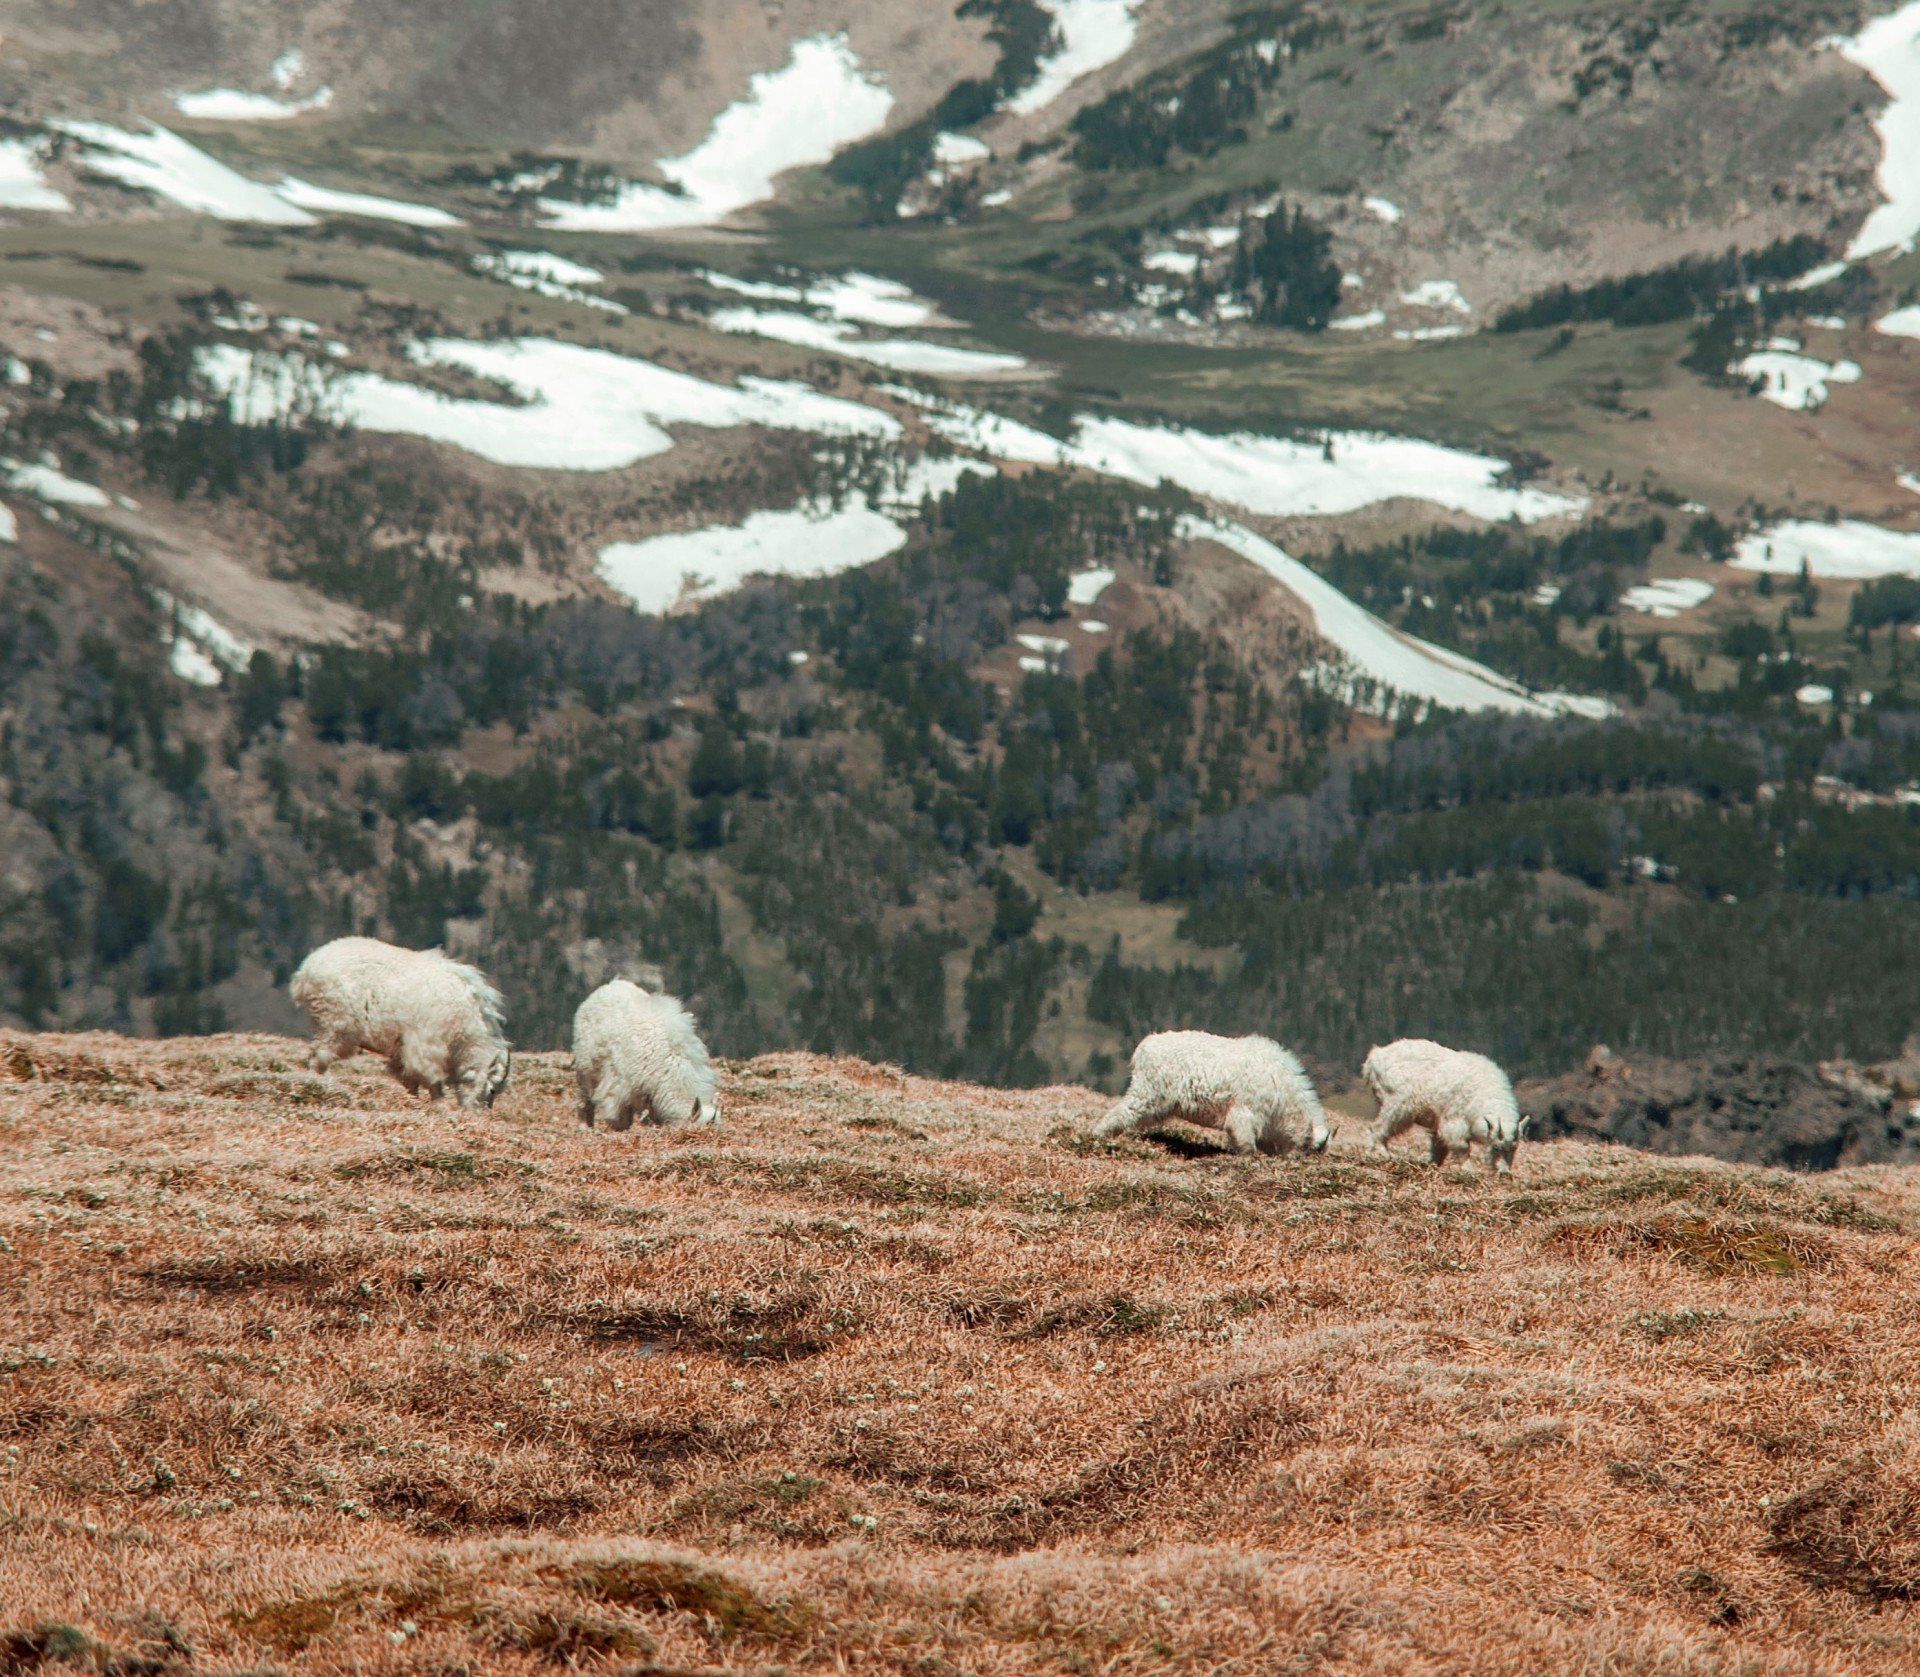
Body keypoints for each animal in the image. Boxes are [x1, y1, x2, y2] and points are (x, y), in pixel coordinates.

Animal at [286, 937, 510, 1106]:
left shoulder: (402, 1049)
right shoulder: (425, 1045)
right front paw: (439, 1104)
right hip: (335, 1023)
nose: (479, 1113)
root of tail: (306, 971)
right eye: (492, 1089)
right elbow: (430, 1079)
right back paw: (321, 1084)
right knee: (320, 1056)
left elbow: (408, 1078)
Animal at [1098, 1037, 1336, 1152]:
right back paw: (1098, 1135)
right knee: (1121, 1113)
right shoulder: (1245, 1113)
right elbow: (1246, 1143)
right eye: (1309, 1148)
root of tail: (1144, 1047)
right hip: (1147, 1092)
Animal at [1367, 1037, 1528, 1167]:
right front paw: (1468, 1169)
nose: (1504, 1173)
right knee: (1380, 1126)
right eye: (1496, 1147)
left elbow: (1439, 1146)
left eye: (1514, 1148)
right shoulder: (1455, 1120)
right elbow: (1461, 1145)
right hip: (1397, 1103)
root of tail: (1374, 1058)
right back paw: (1381, 1152)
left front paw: (1433, 1164)